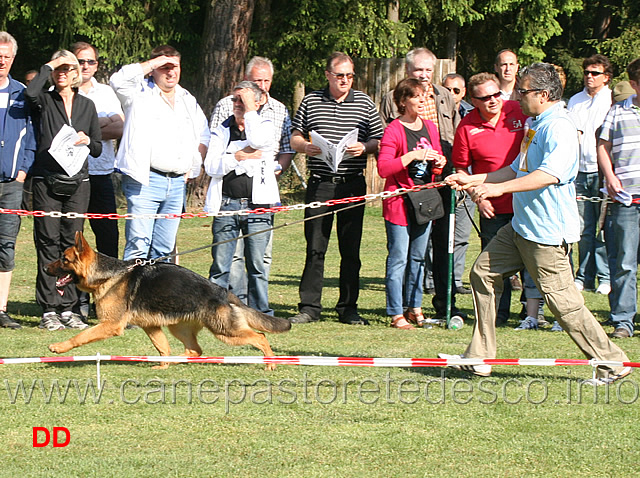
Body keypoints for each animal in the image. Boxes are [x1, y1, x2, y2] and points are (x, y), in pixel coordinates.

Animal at [45, 232, 292, 370]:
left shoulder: (110, 325)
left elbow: (80, 336)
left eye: (63, 259)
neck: (108, 274)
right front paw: (162, 365)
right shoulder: (151, 326)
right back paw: (172, 362)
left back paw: (270, 363)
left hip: (225, 331)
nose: (46, 268)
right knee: (194, 350)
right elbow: (162, 347)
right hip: (179, 328)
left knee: (260, 337)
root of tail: (222, 291)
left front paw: (59, 346)